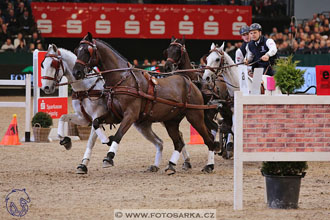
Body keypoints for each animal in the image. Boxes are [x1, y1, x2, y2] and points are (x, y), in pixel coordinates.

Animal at [40, 44, 165, 174]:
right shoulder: (83, 118)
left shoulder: (97, 115)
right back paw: (156, 165)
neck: (86, 88)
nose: (46, 87)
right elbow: (63, 117)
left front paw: (104, 144)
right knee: (159, 142)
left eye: (53, 64)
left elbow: (91, 141)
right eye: (42, 64)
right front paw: (66, 141)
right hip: (143, 124)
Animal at [72, 32, 217, 174]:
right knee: (178, 143)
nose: (76, 72)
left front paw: (109, 157)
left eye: (87, 50)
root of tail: (191, 82)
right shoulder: (114, 115)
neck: (123, 80)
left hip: (195, 116)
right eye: (76, 50)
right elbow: (96, 122)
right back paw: (171, 165)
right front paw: (107, 140)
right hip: (171, 121)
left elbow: (119, 134)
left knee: (209, 139)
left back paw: (209, 165)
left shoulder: (130, 115)